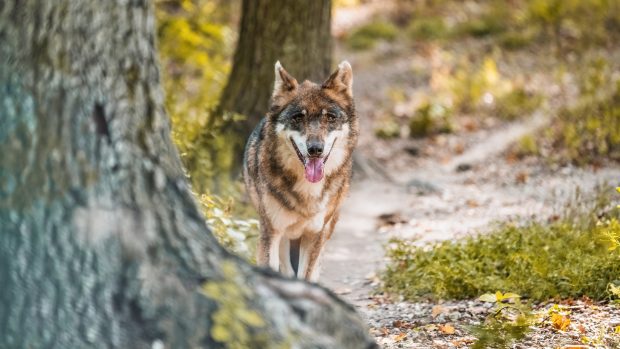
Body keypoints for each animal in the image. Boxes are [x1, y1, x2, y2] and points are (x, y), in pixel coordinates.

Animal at [243, 61, 358, 282]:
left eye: (330, 117)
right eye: (298, 118)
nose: (315, 149)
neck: (308, 189)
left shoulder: (315, 235)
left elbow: (307, 274)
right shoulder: (271, 231)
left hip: (328, 226)